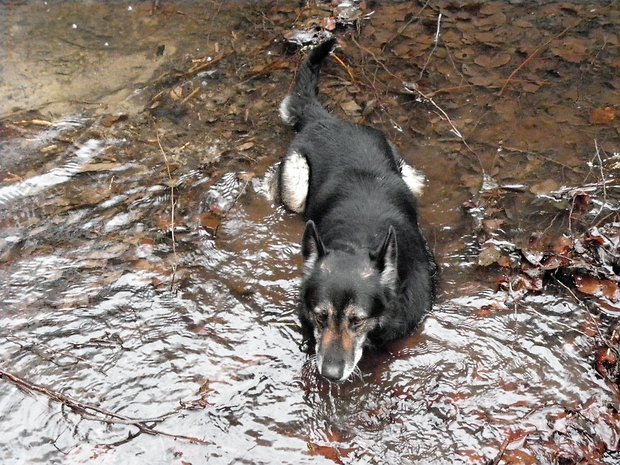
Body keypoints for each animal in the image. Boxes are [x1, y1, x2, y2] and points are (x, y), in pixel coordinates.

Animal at [276, 39, 436, 380]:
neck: (358, 240)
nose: (330, 374)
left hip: (411, 176)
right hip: (294, 191)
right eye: (321, 316)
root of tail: (325, 120)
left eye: (357, 321)